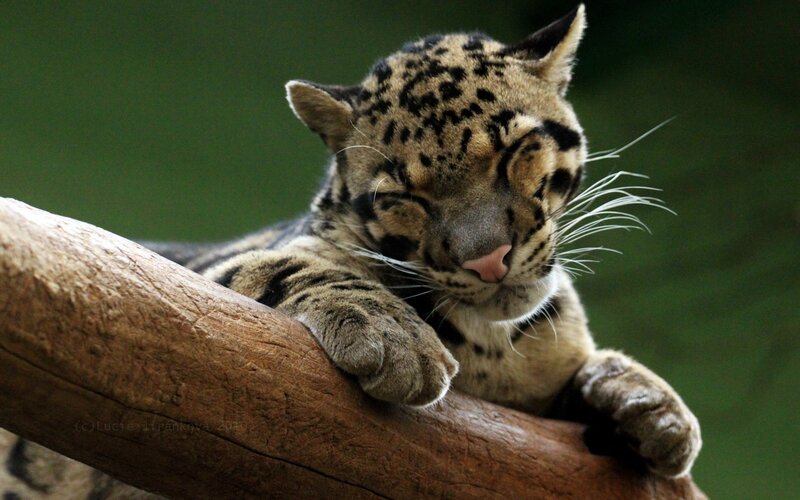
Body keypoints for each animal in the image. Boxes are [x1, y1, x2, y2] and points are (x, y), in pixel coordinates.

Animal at [2, 5, 701, 497]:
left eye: (513, 152)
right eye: (405, 197)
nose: (487, 260)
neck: (493, 347)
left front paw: (653, 405)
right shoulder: (192, 278)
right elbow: (294, 263)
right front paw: (395, 337)